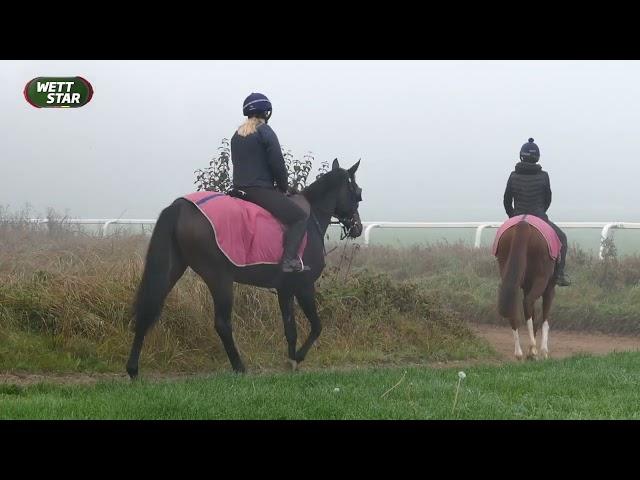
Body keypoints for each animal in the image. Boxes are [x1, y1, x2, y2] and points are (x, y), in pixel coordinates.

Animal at [127, 159, 362, 376]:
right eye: (357, 193)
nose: (357, 228)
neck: (311, 220)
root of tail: (180, 207)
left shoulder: (285, 289)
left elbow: (290, 329)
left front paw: (290, 361)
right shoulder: (304, 286)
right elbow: (316, 326)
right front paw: (297, 358)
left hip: (173, 269)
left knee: (148, 309)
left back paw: (133, 369)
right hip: (219, 278)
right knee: (222, 323)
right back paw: (239, 367)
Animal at [496, 219, 556, 358]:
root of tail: (523, 222)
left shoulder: (528, 286)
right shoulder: (549, 287)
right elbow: (545, 316)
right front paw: (544, 350)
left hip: (509, 274)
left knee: (514, 307)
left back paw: (519, 352)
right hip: (541, 278)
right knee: (528, 302)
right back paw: (533, 348)